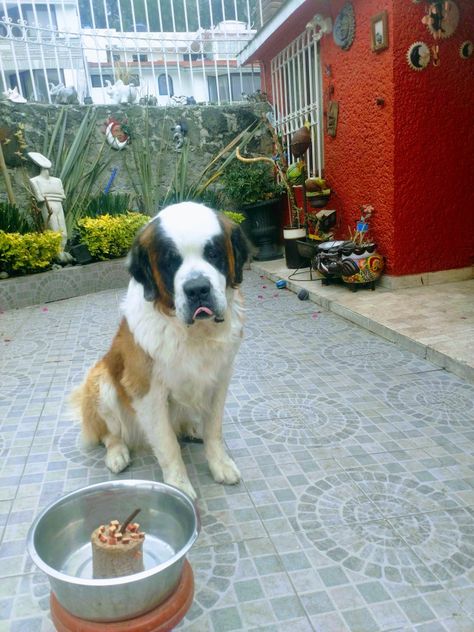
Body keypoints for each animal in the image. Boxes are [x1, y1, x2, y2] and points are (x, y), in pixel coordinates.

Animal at [72, 202, 250, 498]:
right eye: (171, 261)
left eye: (213, 253)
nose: (197, 288)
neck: (194, 333)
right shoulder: (147, 393)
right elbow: (168, 445)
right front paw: (178, 486)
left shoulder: (220, 379)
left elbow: (214, 429)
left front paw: (220, 464)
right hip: (100, 382)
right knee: (111, 434)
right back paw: (117, 454)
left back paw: (193, 428)